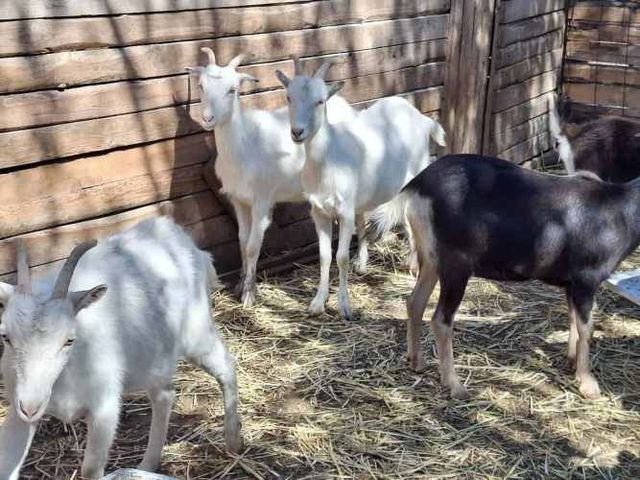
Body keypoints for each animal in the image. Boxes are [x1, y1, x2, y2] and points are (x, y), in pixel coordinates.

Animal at [0, 217, 242, 479]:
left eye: (69, 340)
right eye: (6, 336)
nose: (30, 406)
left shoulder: (104, 409)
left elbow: (90, 469)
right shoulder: (18, 412)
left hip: (197, 333)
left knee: (226, 366)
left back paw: (233, 440)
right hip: (154, 357)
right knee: (164, 396)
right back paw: (147, 464)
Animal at [186, 48, 357, 307]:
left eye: (232, 89)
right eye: (200, 85)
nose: (207, 118)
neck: (245, 143)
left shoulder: (262, 200)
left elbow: (253, 246)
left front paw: (249, 294)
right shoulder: (238, 200)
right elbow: (241, 240)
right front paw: (240, 285)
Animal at [275, 58, 446, 319]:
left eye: (320, 101)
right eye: (288, 97)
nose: (297, 132)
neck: (329, 158)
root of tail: (423, 119)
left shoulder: (344, 211)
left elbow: (341, 257)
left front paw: (344, 307)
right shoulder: (319, 212)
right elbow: (325, 256)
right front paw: (317, 303)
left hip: (417, 173)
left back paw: (414, 266)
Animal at [368, 154, 640, 400]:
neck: (620, 213)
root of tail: (417, 186)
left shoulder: (570, 283)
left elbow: (573, 318)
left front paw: (571, 361)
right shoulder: (586, 279)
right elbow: (587, 327)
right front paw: (588, 384)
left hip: (431, 257)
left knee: (415, 302)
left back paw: (416, 361)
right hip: (456, 264)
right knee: (440, 319)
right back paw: (455, 385)